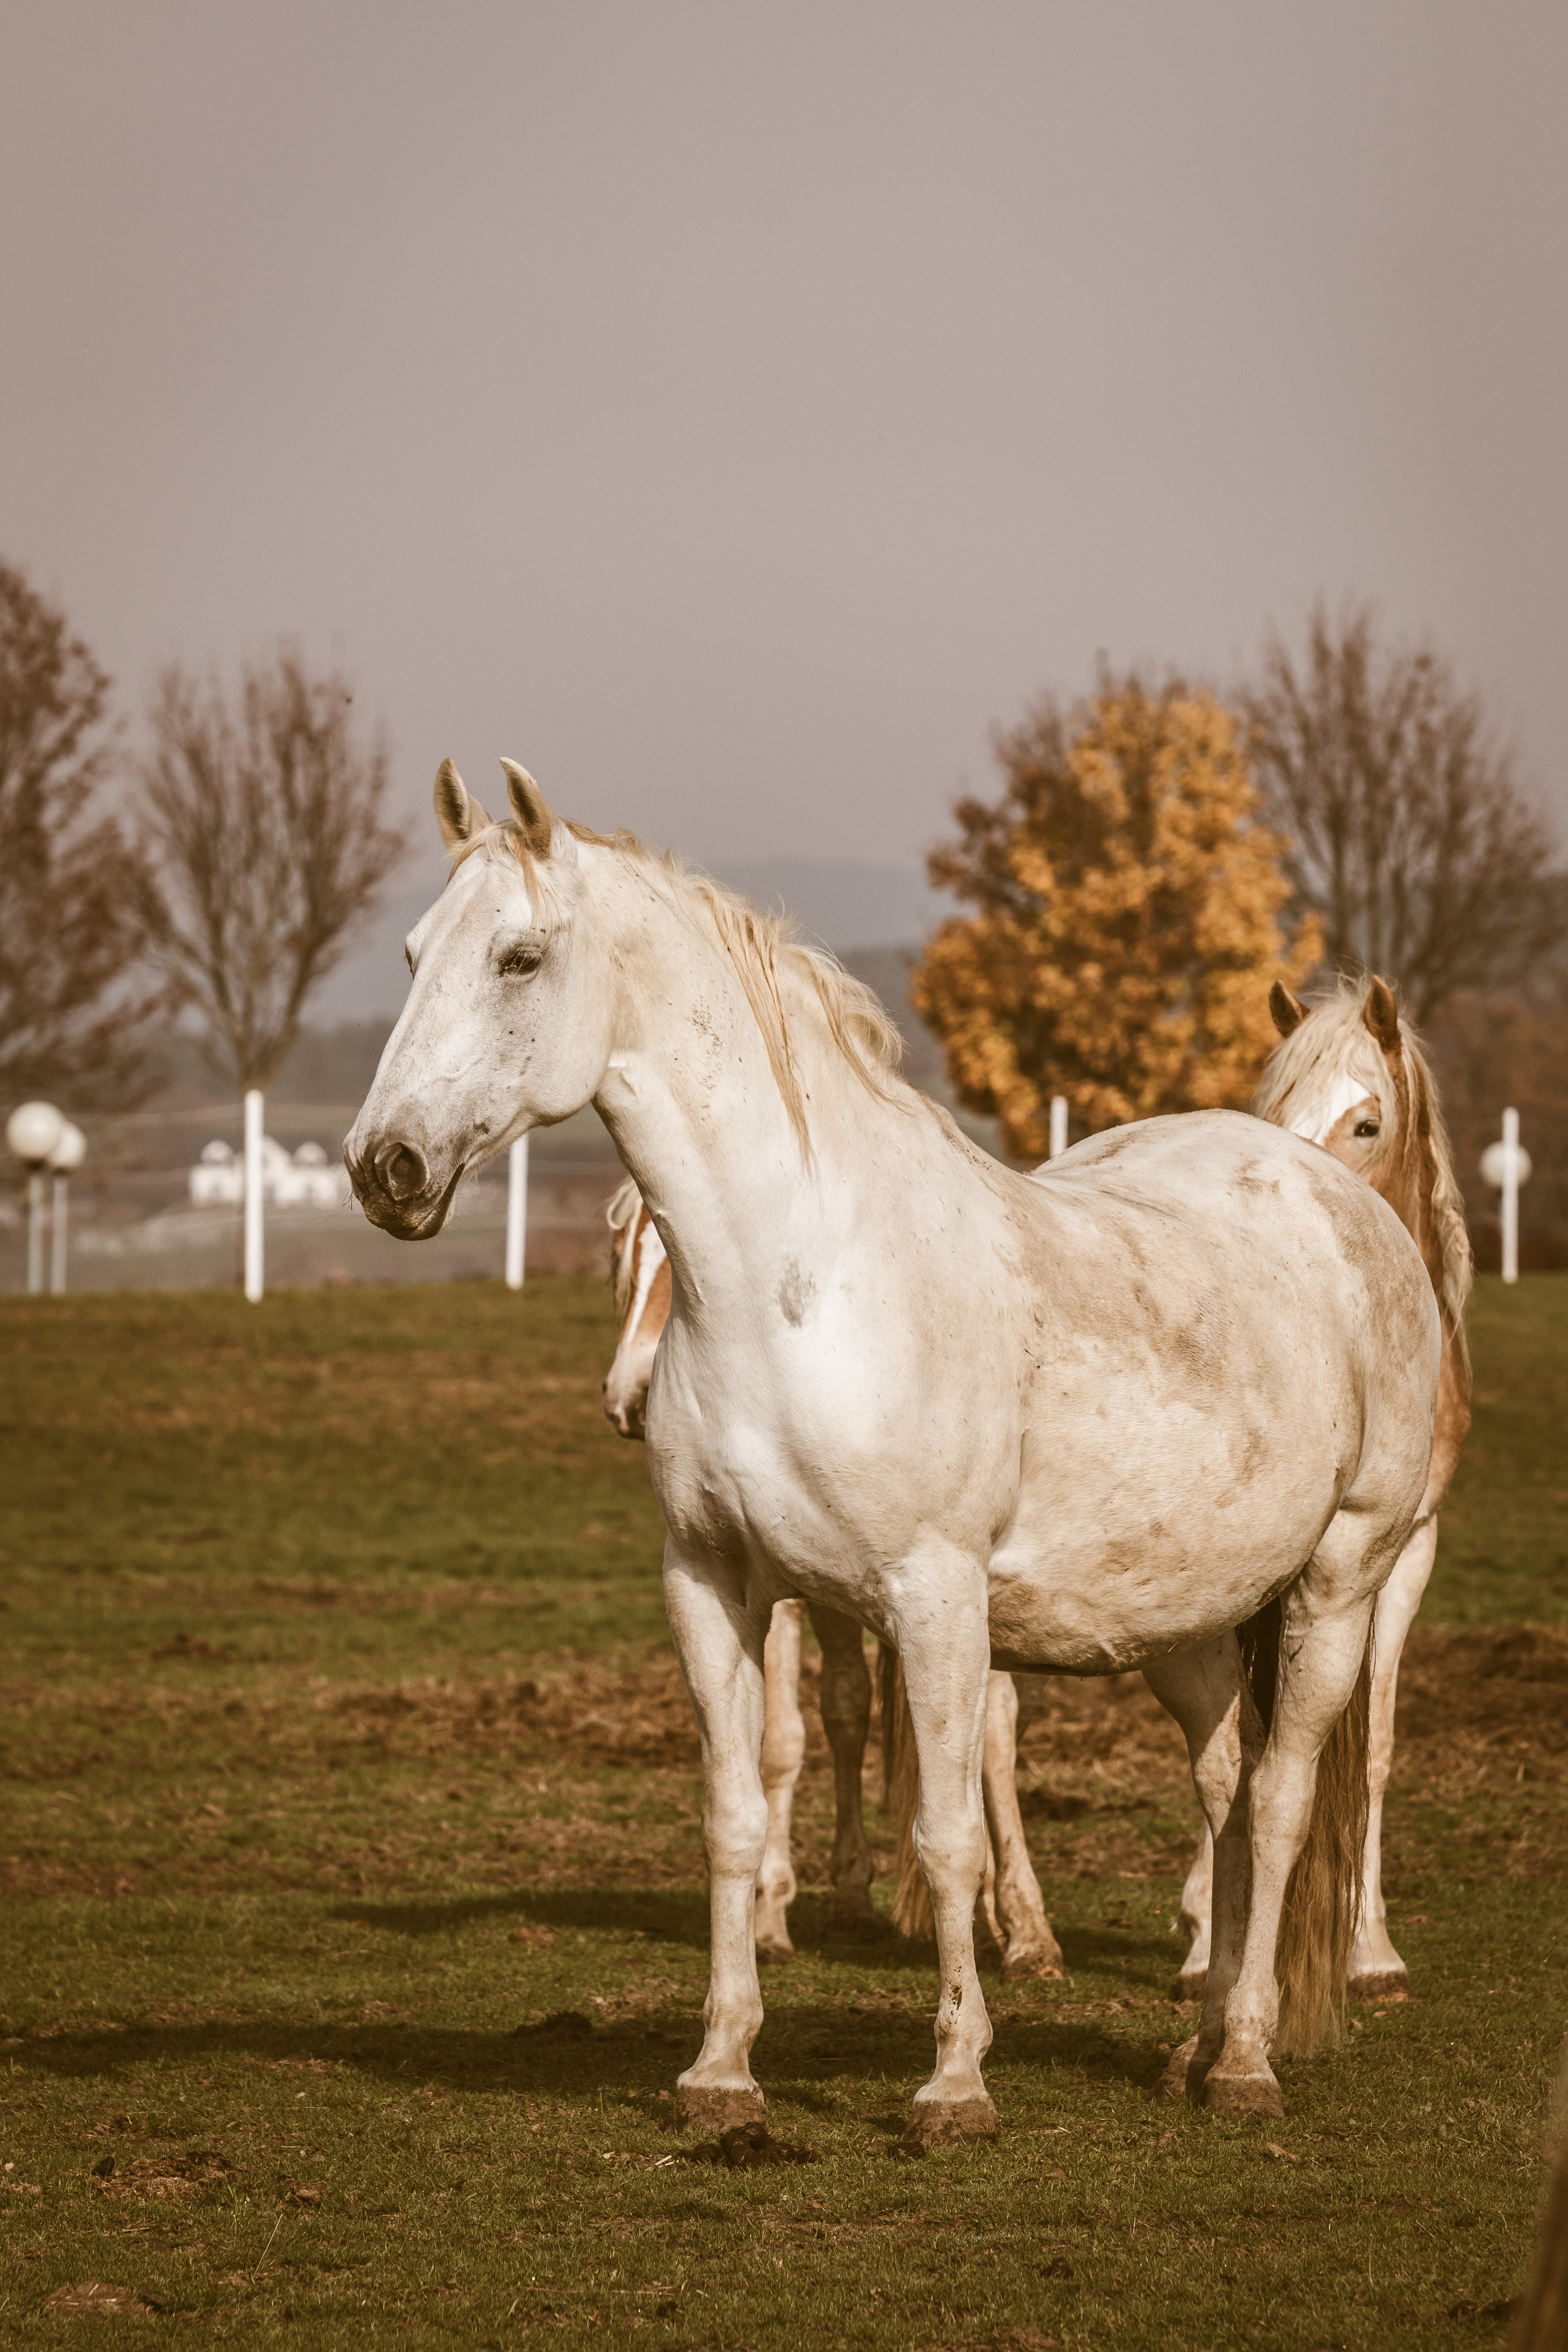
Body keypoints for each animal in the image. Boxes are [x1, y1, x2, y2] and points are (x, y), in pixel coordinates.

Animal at [884, 974, 1474, 2007]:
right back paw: (1028, 1930)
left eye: (1367, 1123)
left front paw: (1369, 1950)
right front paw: (1211, 1942)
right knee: (993, 1729)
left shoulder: (1405, 1554)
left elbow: (1368, 1744)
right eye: (1270, 1110)